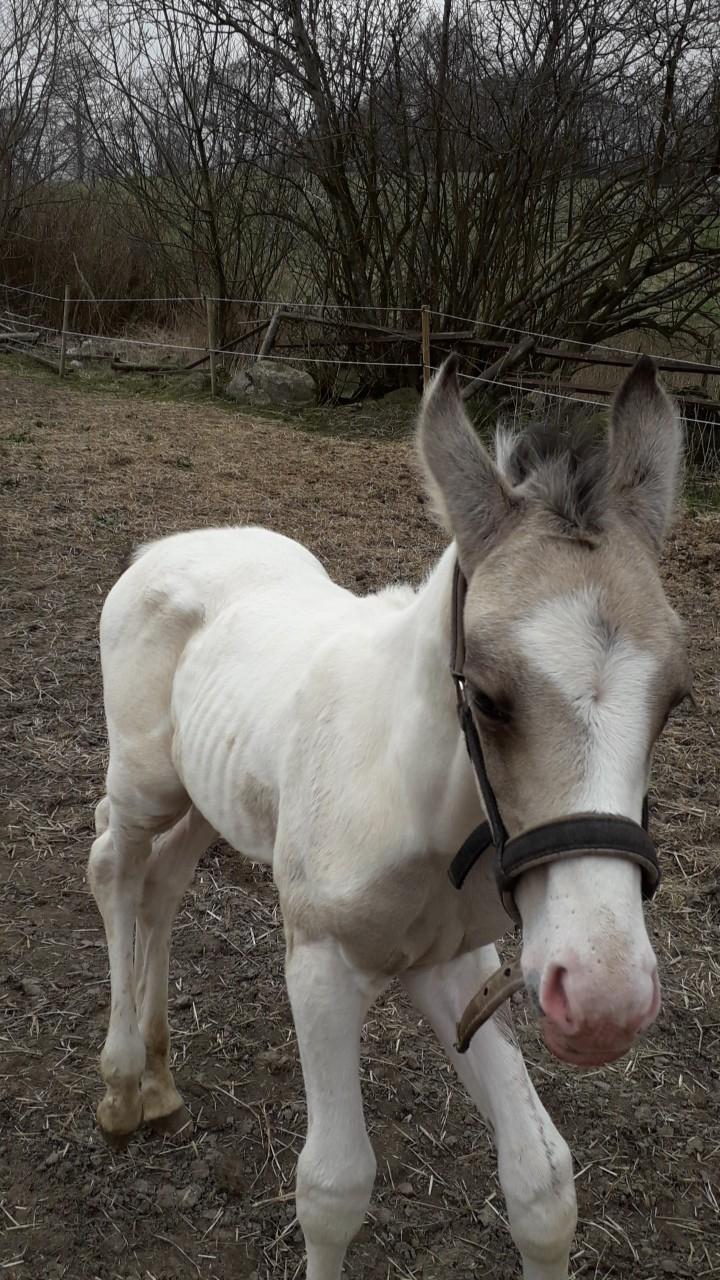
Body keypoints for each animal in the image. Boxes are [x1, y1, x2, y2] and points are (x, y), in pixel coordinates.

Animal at [89, 358, 691, 1280]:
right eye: (487, 697)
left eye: (675, 698)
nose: (603, 1000)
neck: (419, 805)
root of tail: (166, 547)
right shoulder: (321, 966)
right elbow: (334, 1187)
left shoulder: (456, 966)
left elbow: (544, 1181)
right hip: (146, 784)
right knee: (114, 867)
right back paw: (123, 1084)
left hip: (207, 799)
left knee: (163, 884)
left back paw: (158, 1081)